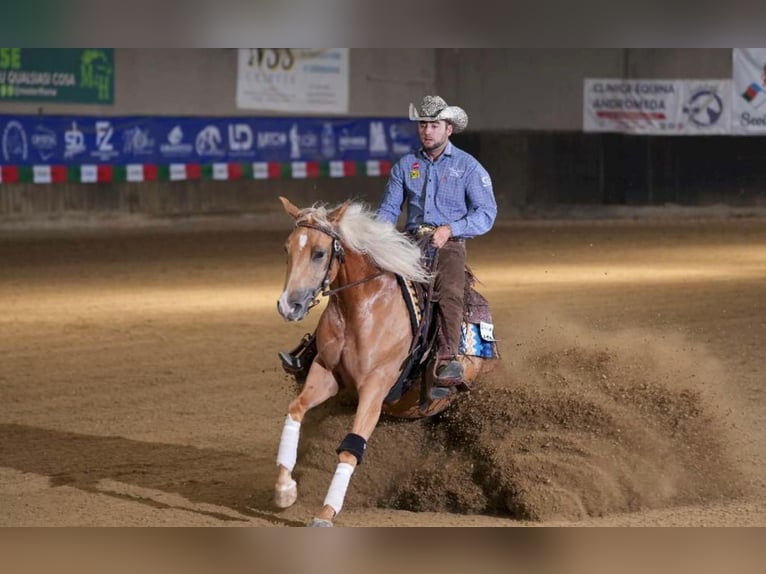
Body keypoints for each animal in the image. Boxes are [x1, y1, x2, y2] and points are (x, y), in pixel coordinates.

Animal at [276, 197, 498, 528]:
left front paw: (326, 513)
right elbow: (296, 410)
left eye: (319, 253)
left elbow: (351, 448)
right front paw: (285, 489)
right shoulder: (325, 372)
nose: (288, 306)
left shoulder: (375, 387)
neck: (361, 309)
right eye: (287, 249)